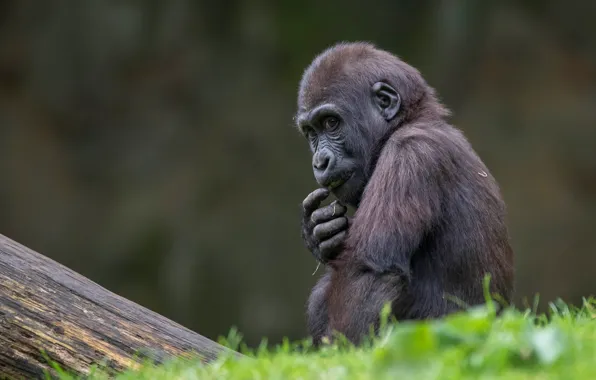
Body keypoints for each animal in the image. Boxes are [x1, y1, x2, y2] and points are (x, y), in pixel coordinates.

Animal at [296, 41, 516, 344]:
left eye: (331, 123)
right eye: (311, 132)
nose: (320, 162)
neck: (413, 120)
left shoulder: (409, 153)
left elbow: (371, 271)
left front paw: (345, 349)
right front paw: (318, 232)